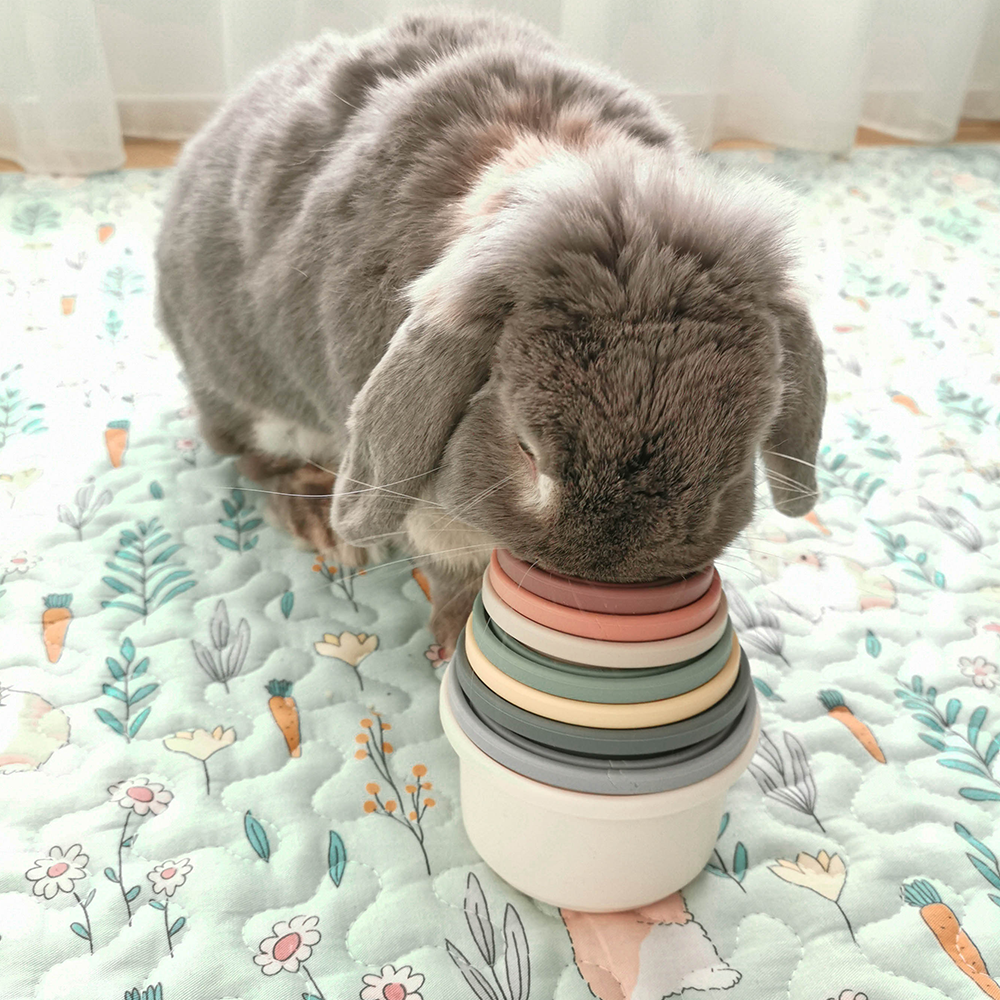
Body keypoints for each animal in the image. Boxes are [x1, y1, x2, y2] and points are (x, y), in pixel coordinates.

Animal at [155, 8, 826, 652]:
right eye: (526, 449)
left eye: (737, 461)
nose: (607, 575)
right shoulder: (427, 498)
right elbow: (450, 552)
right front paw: (458, 637)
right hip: (255, 399)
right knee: (252, 457)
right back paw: (324, 523)